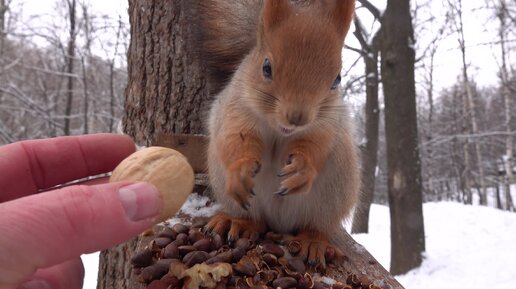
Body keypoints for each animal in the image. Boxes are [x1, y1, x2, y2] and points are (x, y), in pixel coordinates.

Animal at [201, 0, 358, 266]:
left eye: (337, 79)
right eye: (266, 67)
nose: (297, 118)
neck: (280, 131)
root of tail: (279, 222)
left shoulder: (326, 125)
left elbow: (315, 146)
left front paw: (302, 170)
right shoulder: (235, 108)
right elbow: (234, 138)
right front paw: (241, 169)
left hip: (331, 197)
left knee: (314, 225)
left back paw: (313, 242)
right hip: (230, 190)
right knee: (254, 219)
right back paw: (238, 222)